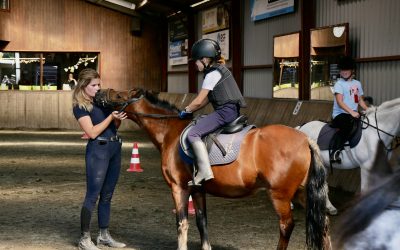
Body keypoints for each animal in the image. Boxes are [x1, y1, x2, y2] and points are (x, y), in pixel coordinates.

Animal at [94, 88, 332, 250]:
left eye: (118, 95)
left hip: (280, 195)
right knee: (323, 223)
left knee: (286, 226)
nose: (98, 94)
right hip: (302, 193)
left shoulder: (179, 188)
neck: (170, 131)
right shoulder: (198, 189)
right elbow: (202, 222)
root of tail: (305, 139)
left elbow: (181, 223)